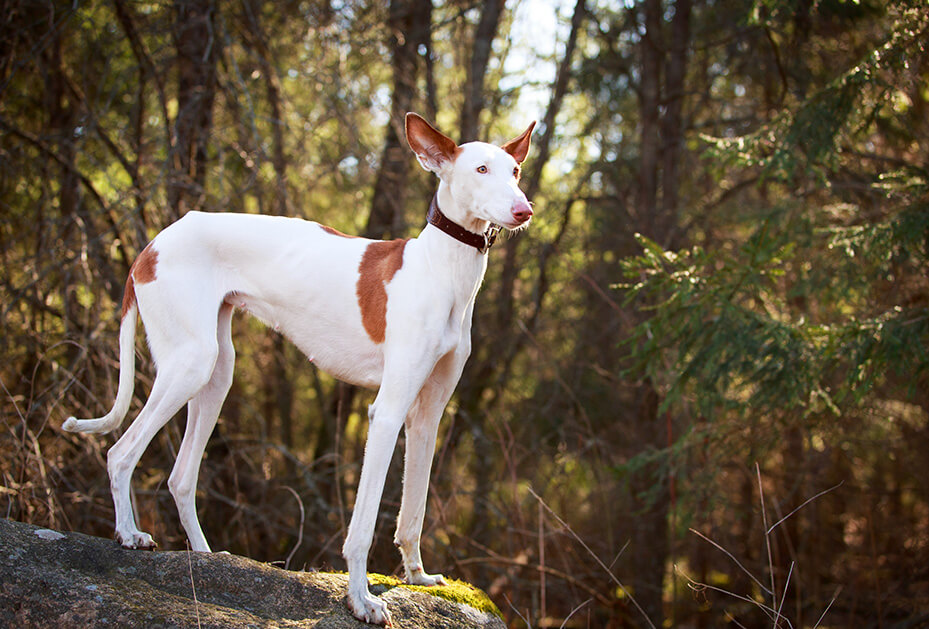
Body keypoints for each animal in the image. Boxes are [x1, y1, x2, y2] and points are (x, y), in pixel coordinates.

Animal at [63, 113, 536, 624]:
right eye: (481, 169)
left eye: (515, 171)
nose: (525, 210)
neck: (440, 269)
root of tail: (154, 242)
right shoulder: (386, 413)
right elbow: (363, 527)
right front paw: (361, 600)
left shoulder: (426, 418)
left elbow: (413, 511)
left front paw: (416, 575)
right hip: (189, 365)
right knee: (120, 452)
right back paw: (129, 535)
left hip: (216, 374)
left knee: (180, 477)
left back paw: (208, 557)